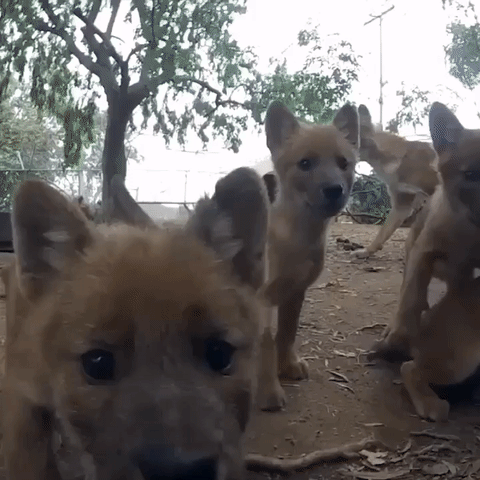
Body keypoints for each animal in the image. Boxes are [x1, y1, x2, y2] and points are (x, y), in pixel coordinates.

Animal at [256, 99, 358, 410]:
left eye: (343, 163)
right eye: (305, 163)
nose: (335, 190)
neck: (297, 239)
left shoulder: (296, 290)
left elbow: (287, 332)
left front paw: (288, 366)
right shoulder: (263, 298)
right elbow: (267, 341)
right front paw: (269, 391)